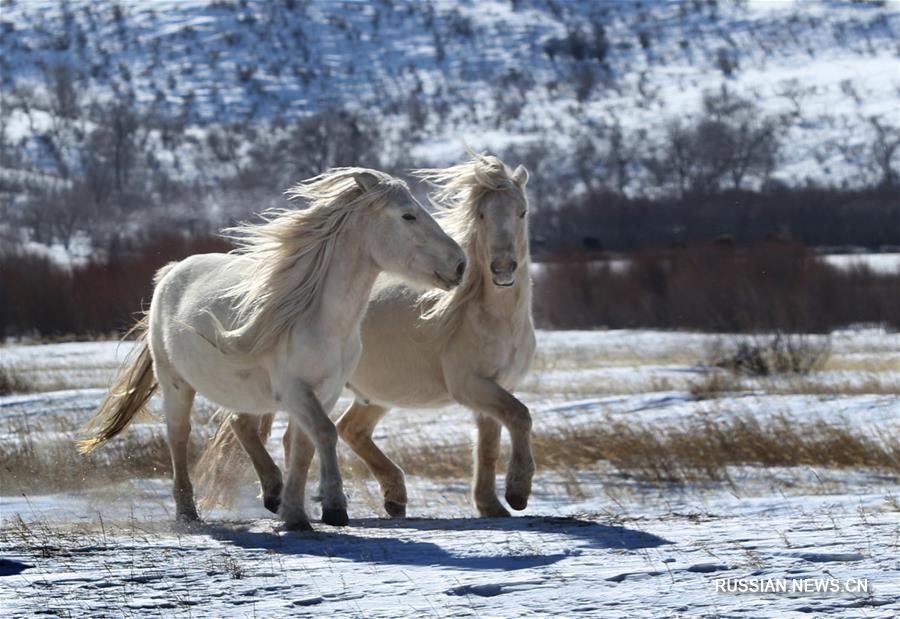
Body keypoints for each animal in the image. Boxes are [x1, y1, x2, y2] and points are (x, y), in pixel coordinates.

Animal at [78, 167, 468, 532]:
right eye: (408, 215)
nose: (460, 264)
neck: (319, 320)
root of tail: (172, 271)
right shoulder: (295, 388)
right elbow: (324, 433)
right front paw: (333, 507)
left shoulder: (324, 390)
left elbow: (304, 445)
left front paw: (296, 513)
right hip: (176, 384)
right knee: (179, 438)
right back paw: (189, 513)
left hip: (248, 392)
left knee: (240, 424)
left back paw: (273, 492)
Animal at [198, 154, 536, 520]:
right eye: (482, 215)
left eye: (522, 212)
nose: (502, 268)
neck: (492, 318)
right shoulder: (470, 384)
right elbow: (521, 416)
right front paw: (517, 492)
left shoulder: (496, 387)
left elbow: (490, 444)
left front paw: (493, 506)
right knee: (247, 423)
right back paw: (279, 494)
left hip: (372, 395)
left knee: (344, 430)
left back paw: (386, 497)